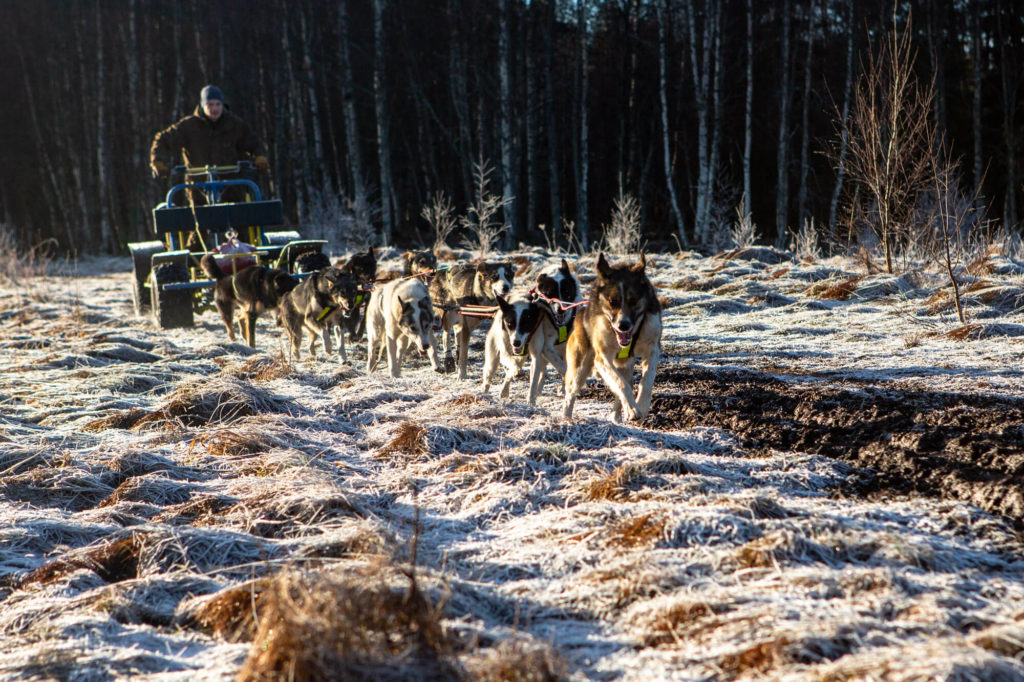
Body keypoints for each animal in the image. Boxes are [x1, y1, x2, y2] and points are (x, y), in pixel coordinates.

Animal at [561, 250, 663, 419]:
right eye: (612, 301)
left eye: (633, 301)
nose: (623, 325)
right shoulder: (602, 358)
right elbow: (620, 384)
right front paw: (632, 409)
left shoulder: (653, 348)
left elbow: (647, 380)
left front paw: (641, 405)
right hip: (579, 369)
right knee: (570, 396)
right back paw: (566, 418)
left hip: (626, 367)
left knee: (620, 394)